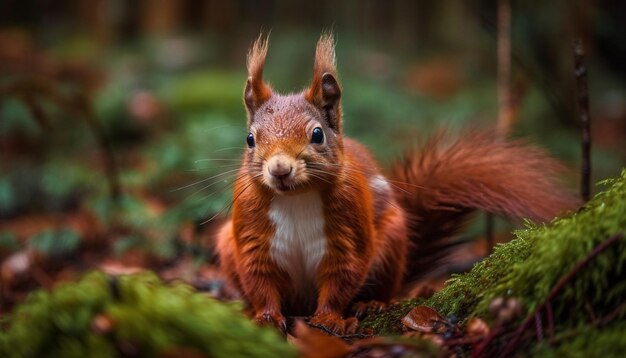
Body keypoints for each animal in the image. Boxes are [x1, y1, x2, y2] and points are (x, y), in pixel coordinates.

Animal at [214, 33, 576, 336]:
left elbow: (342, 277)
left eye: (317, 134)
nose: (279, 169)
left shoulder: (349, 231)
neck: (296, 198)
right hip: (227, 244)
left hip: (391, 241)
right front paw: (265, 316)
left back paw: (370, 303)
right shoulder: (252, 237)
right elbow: (260, 281)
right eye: (249, 139)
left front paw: (330, 317)